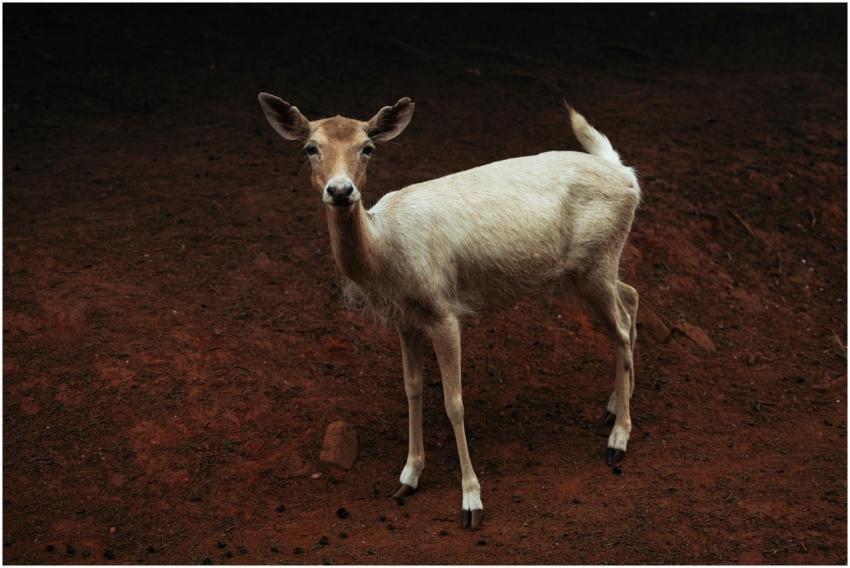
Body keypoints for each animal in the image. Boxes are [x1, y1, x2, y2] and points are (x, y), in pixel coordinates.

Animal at [258, 93, 640, 530]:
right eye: (310, 148)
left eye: (367, 147)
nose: (340, 190)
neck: (387, 255)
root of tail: (626, 174)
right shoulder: (405, 319)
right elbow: (413, 388)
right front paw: (407, 478)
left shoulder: (444, 312)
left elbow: (454, 402)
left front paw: (472, 500)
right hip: (589, 270)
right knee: (631, 298)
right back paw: (614, 405)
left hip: (599, 260)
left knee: (620, 328)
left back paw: (618, 439)